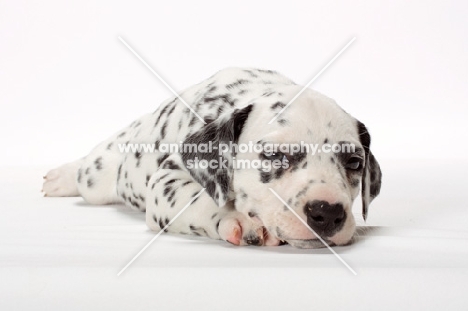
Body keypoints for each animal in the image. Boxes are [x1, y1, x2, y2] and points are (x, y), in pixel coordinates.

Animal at [42, 67, 382, 249]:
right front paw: (237, 219)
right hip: (96, 176)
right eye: (274, 155)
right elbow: (199, 199)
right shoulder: (168, 180)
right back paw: (61, 177)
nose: (327, 212)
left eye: (354, 163)